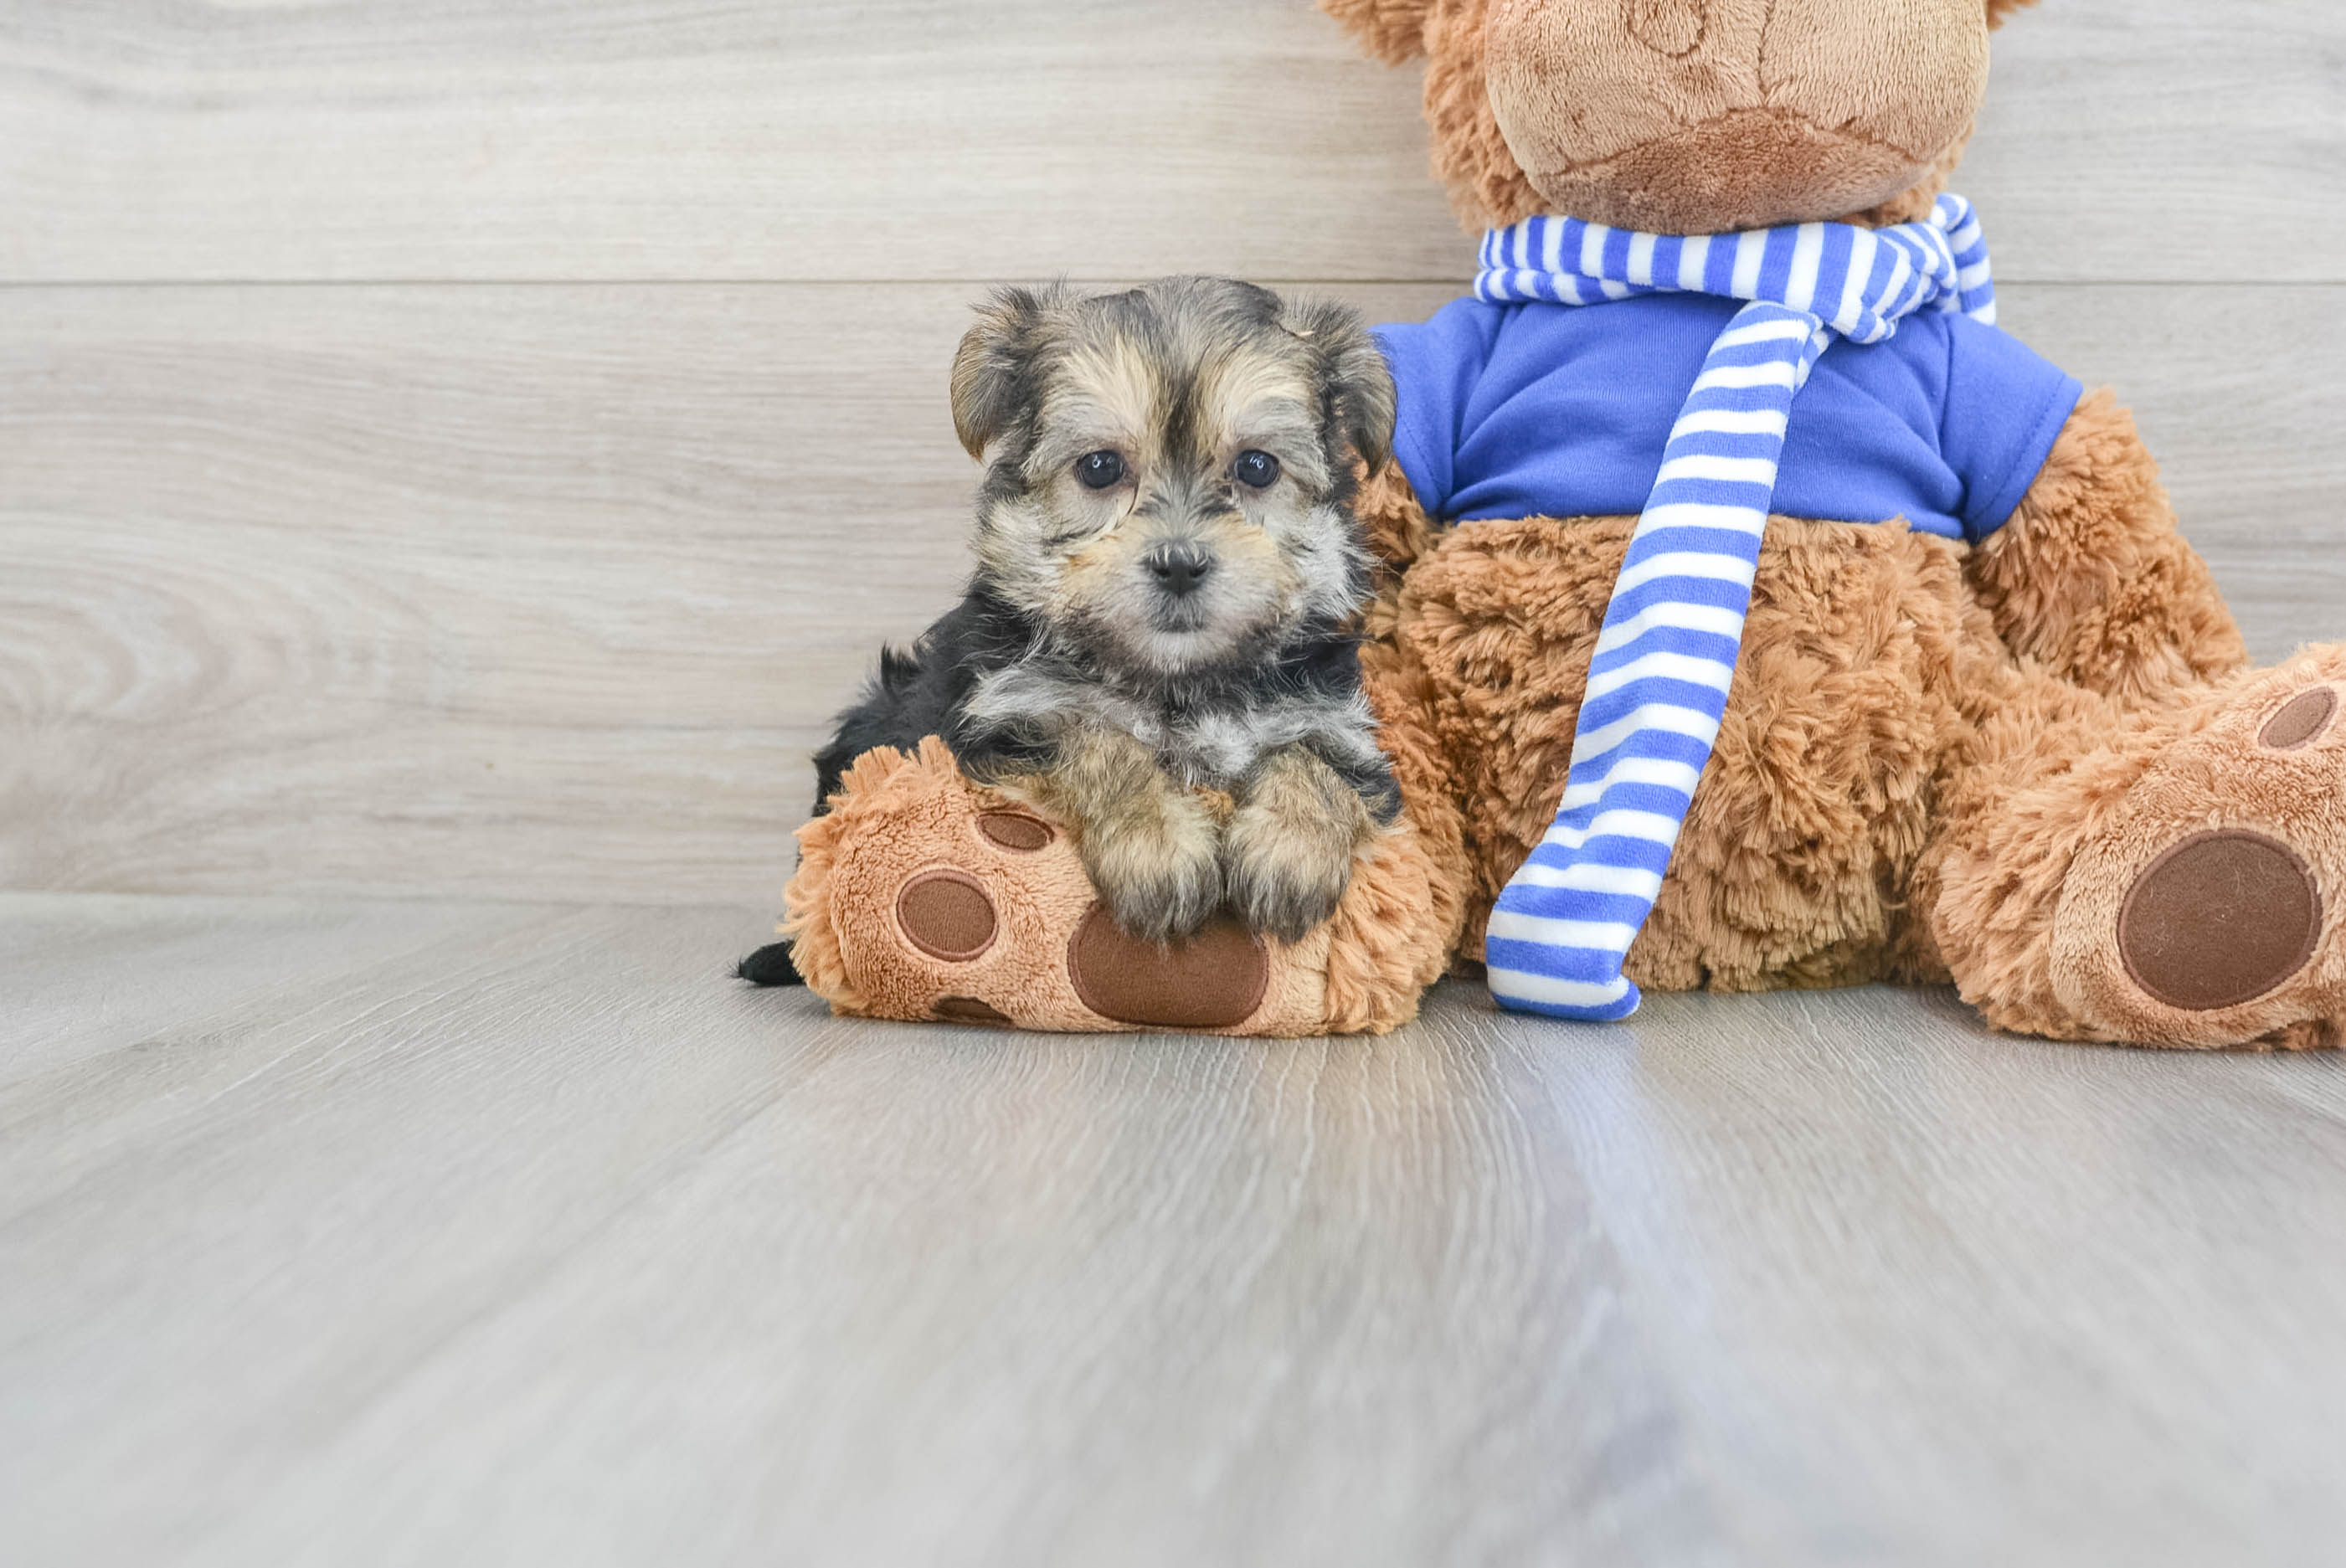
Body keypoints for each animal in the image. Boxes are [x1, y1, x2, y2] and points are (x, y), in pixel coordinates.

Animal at [811, 275, 1388, 948]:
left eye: (1257, 466)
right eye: (1100, 467)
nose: (1180, 563)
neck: (1175, 684)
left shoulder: (1331, 716)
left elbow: (1316, 759)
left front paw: (1291, 853)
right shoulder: (1008, 716)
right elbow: (1097, 738)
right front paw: (1159, 847)